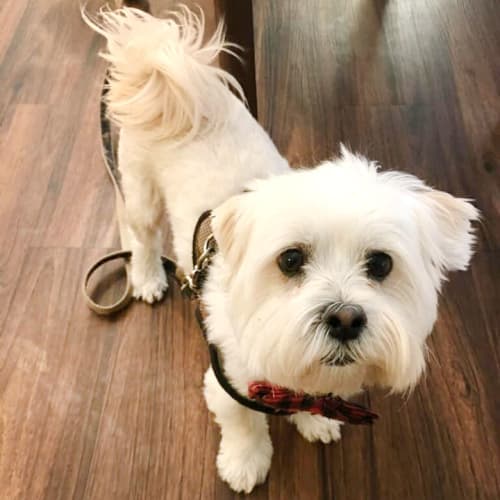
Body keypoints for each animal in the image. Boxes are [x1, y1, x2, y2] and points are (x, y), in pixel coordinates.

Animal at [86, 6, 480, 492]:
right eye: (290, 260)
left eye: (381, 264)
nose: (345, 318)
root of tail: (171, 78)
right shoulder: (228, 381)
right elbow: (242, 423)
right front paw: (245, 462)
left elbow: (311, 399)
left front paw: (316, 421)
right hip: (141, 189)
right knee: (139, 234)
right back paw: (146, 277)